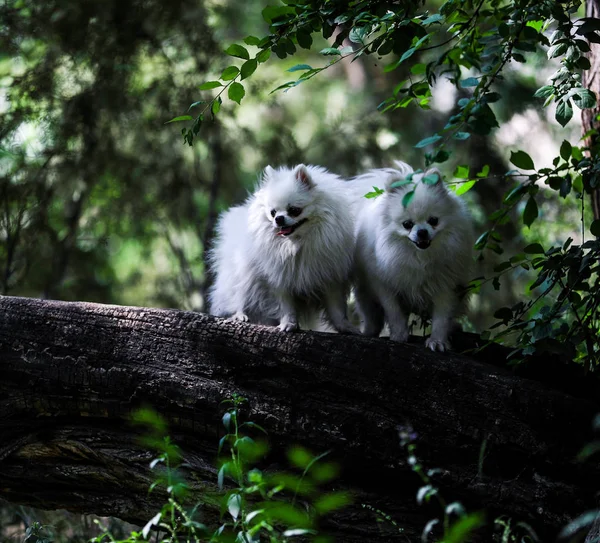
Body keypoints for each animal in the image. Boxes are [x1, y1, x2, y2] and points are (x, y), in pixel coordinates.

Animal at [207, 164, 356, 334]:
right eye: (272, 212)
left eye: (294, 210)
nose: (278, 219)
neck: (296, 243)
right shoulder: (278, 278)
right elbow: (285, 306)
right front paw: (288, 323)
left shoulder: (330, 277)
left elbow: (336, 308)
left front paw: (345, 326)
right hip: (242, 274)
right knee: (238, 295)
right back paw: (239, 315)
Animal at [352, 162, 474, 352]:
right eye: (407, 224)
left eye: (433, 220)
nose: (422, 232)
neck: (419, 257)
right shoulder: (385, 285)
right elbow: (394, 312)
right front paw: (399, 336)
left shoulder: (446, 285)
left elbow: (442, 317)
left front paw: (438, 341)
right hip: (365, 293)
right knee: (372, 316)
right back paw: (368, 332)